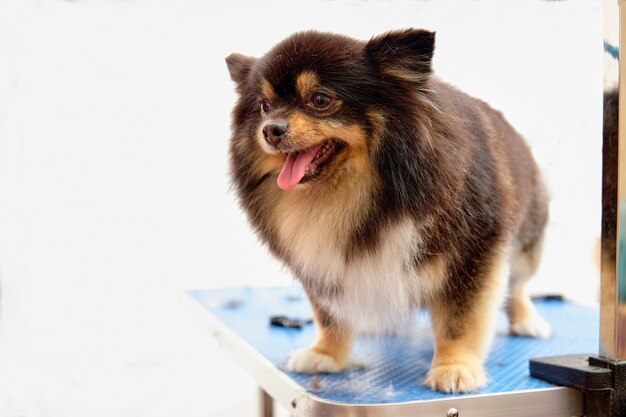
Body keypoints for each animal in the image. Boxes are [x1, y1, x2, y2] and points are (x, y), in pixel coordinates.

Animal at [227, 30, 548, 394]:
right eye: (264, 106)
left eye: (320, 99)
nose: (271, 129)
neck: (359, 198)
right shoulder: (324, 263)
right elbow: (330, 316)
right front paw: (326, 354)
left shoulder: (474, 252)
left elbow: (460, 320)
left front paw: (454, 367)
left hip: (526, 244)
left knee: (518, 285)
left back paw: (527, 321)